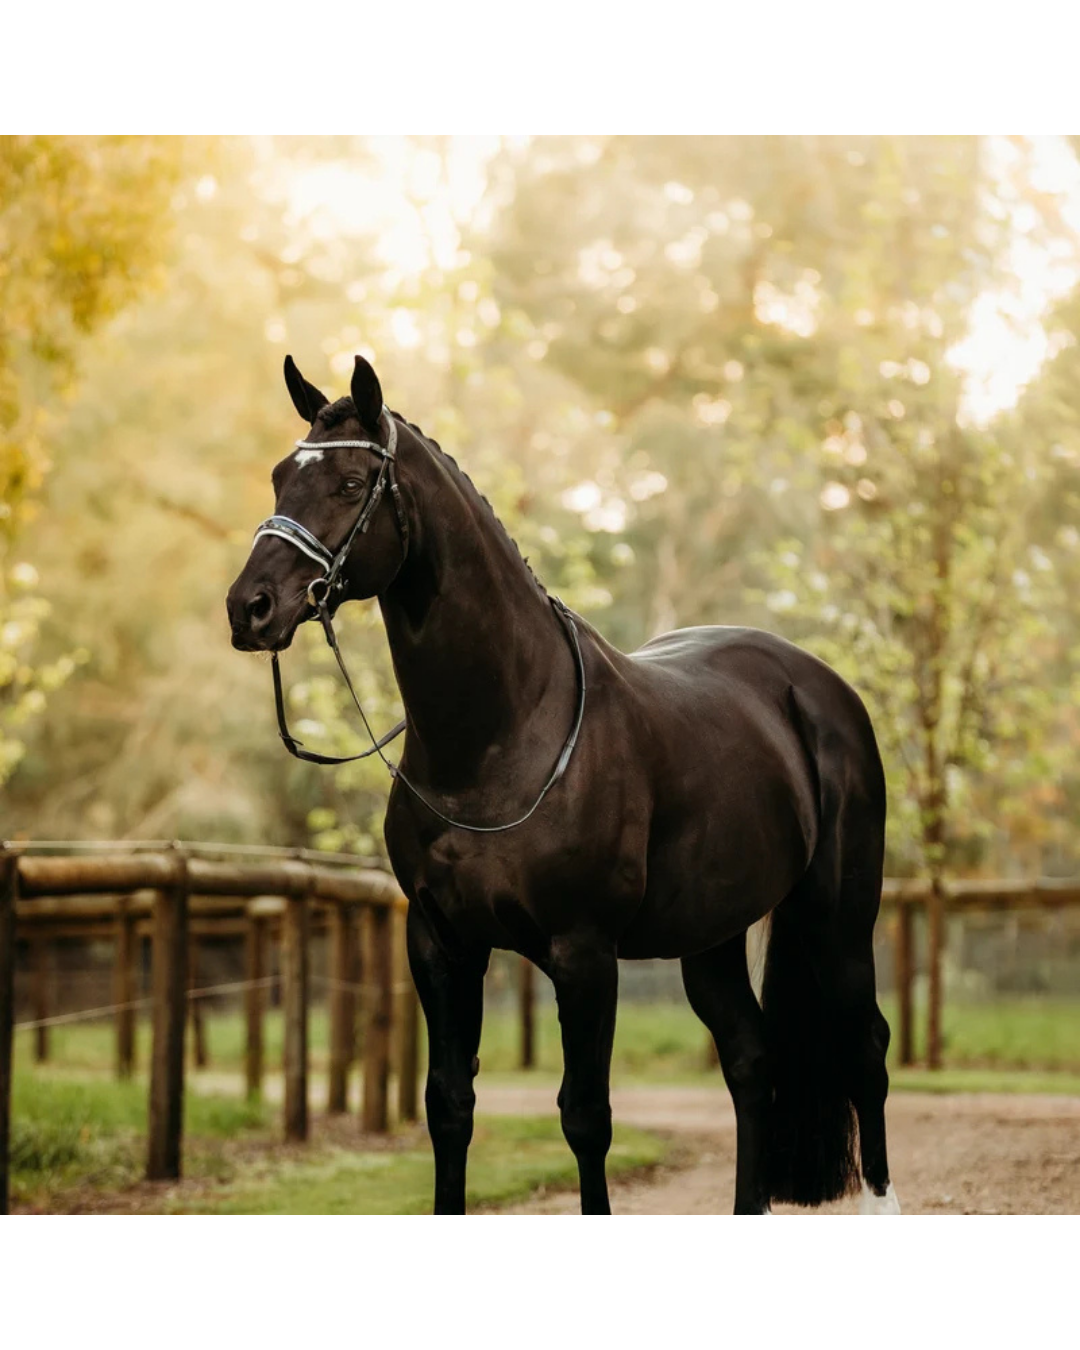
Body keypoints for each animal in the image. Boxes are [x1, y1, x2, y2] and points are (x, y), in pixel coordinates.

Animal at [226, 353, 900, 1216]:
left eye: (349, 483)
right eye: (282, 476)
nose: (250, 607)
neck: (501, 736)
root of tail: (820, 687)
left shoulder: (583, 955)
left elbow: (586, 1118)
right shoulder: (440, 943)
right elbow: (448, 1106)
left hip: (836, 917)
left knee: (865, 1049)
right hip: (710, 935)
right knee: (751, 1061)